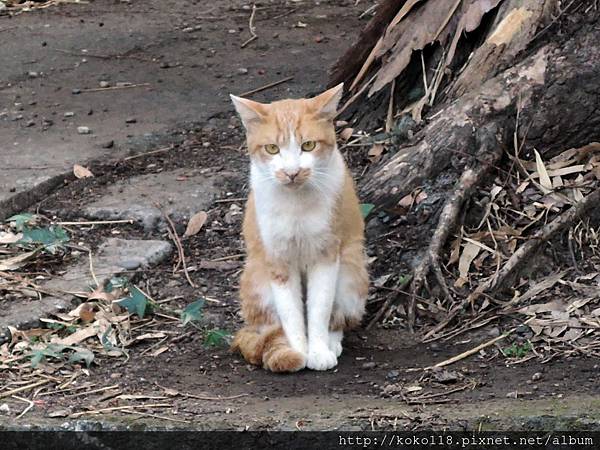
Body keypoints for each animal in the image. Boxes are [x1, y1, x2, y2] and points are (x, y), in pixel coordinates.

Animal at [231, 84, 368, 372]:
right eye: (272, 148)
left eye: (308, 145)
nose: (292, 172)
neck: (296, 205)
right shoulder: (277, 260)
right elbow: (291, 313)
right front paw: (298, 351)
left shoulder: (326, 254)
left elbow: (319, 308)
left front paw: (318, 351)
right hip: (256, 278)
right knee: (267, 325)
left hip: (351, 271)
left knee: (339, 318)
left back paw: (332, 342)